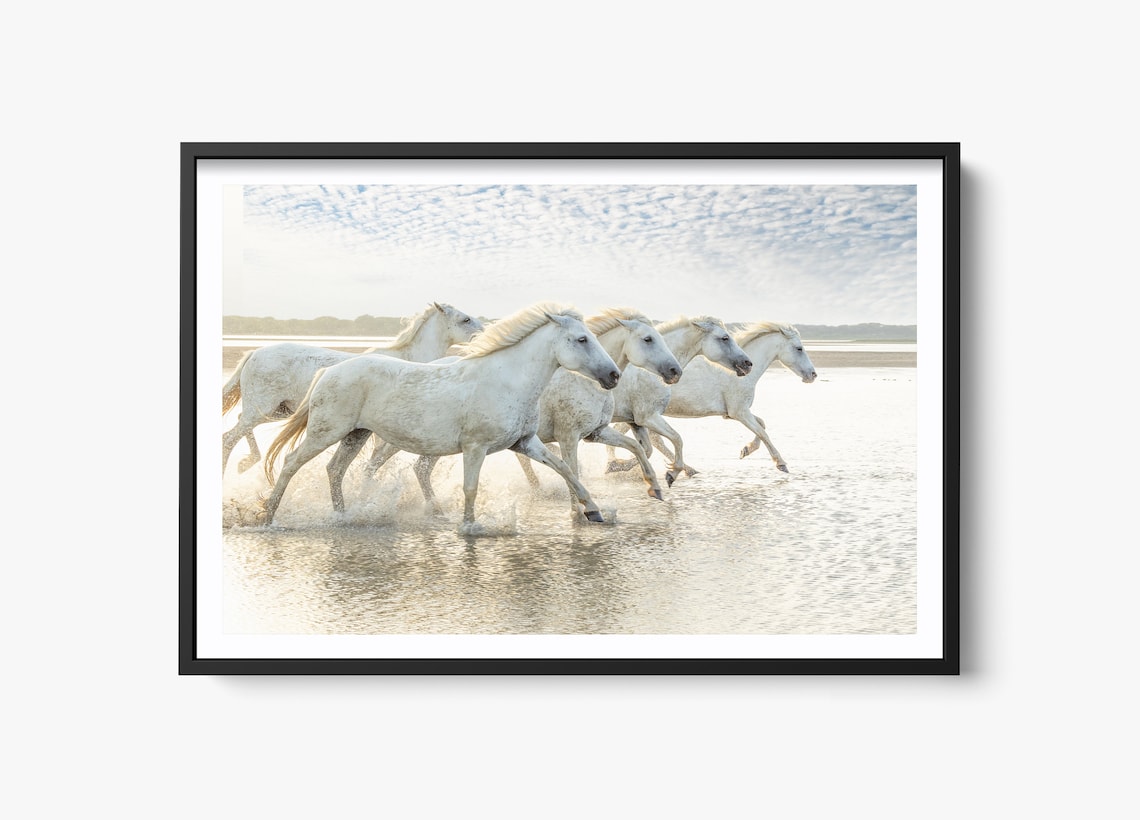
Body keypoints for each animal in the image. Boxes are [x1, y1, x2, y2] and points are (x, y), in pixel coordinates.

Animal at [221, 302, 482, 475]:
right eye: (465, 319)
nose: (483, 335)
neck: (409, 360)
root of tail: (255, 352)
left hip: (278, 411)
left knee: (237, 424)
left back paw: (245, 463)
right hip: (262, 409)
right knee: (230, 437)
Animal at [261, 303, 622, 530]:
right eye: (581, 339)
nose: (614, 375)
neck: (508, 380)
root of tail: (329, 371)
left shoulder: (525, 443)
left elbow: (566, 469)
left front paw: (594, 512)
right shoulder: (475, 448)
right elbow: (470, 488)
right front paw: (469, 526)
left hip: (355, 434)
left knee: (335, 469)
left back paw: (343, 516)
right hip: (326, 431)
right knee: (291, 463)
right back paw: (267, 515)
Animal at [510, 307, 683, 510]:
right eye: (648, 339)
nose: (675, 371)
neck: (585, 382)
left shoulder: (596, 432)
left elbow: (638, 447)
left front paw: (655, 485)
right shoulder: (568, 437)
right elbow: (571, 472)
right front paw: (581, 511)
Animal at [604, 316, 753, 486]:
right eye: (725, 338)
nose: (748, 363)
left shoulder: (637, 420)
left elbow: (648, 449)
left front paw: (616, 466)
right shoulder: (647, 417)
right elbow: (674, 440)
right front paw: (672, 473)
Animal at [637, 321, 818, 472]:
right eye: (799, 348)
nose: (813, 375)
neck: (740, 375)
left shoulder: (732, 414)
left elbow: (762, 424)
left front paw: (746, 450)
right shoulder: (740, 412)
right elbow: (762, 431)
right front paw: (781, 464)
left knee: (655, 440)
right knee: (656, 441)